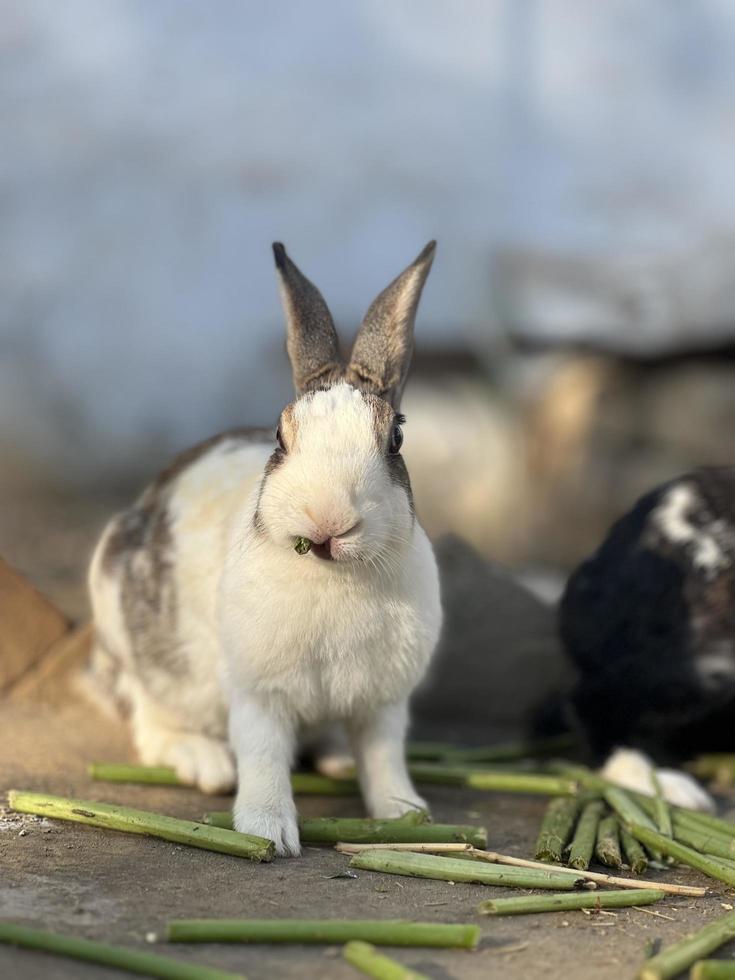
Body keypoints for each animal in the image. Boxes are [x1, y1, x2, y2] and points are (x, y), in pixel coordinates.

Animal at [86, 243, 442, 856]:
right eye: (280, 437)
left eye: (395, 438)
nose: (327, 519)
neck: (334, 575)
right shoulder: (257, 694)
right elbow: (263, 758)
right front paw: (266, 831)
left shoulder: (382, 703)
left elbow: (384, 759)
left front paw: (404, 814)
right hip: (136, 642)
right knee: (149, 719)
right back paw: (206, 764)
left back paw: (336, 760)